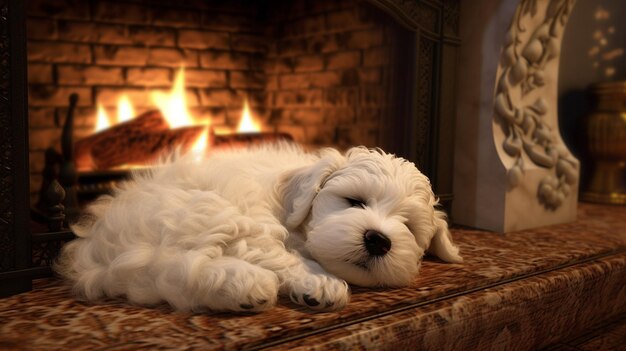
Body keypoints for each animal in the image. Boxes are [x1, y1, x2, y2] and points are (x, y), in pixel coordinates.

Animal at [57, 143, 458, 314]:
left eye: (408, 227)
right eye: (354, 202)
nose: (378, 240)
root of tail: (97, 250)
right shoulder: (256, 219)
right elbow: (281, 255)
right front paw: (319, 281)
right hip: (200, 209)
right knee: (179, 265)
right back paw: (248, 282)